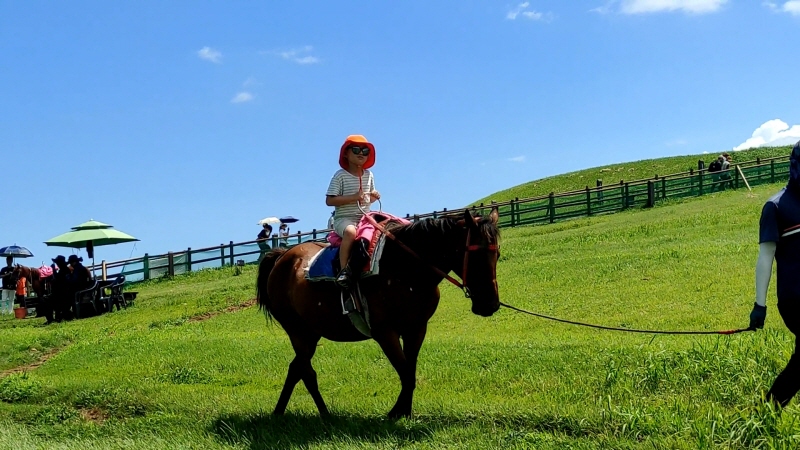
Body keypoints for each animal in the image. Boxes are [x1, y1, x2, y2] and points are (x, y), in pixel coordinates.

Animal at [256, 207, 500, 418]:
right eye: (476, 256)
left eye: (496, 255)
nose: (490, 304)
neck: (404, 268)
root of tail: (282, 256)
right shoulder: (385, 333)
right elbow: (405, 373)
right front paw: (396, 413)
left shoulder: (416, 329)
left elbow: (409, 371)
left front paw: (404, 412)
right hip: (297, 331)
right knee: (307, 372)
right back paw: (325, 415)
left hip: (311, 333)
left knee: (296, 368)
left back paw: (280, 412)